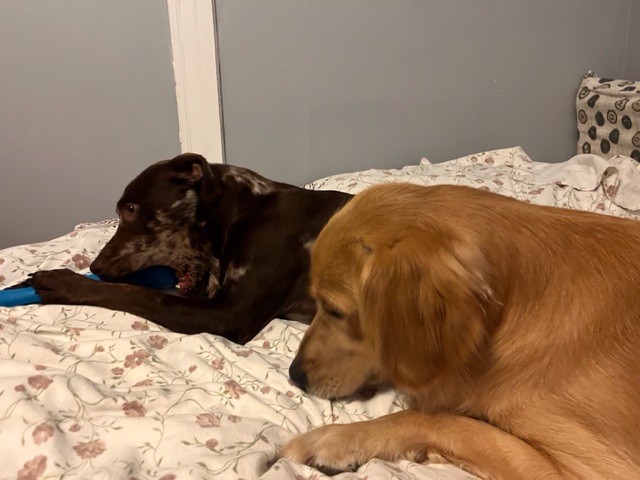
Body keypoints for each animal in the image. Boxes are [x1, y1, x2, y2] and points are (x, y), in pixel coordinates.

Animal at [27, 153, 351, 344]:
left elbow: (135, 292)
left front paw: (67, 283)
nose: (96, 267)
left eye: (129, 209)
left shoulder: (230, 313)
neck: (244, 209)